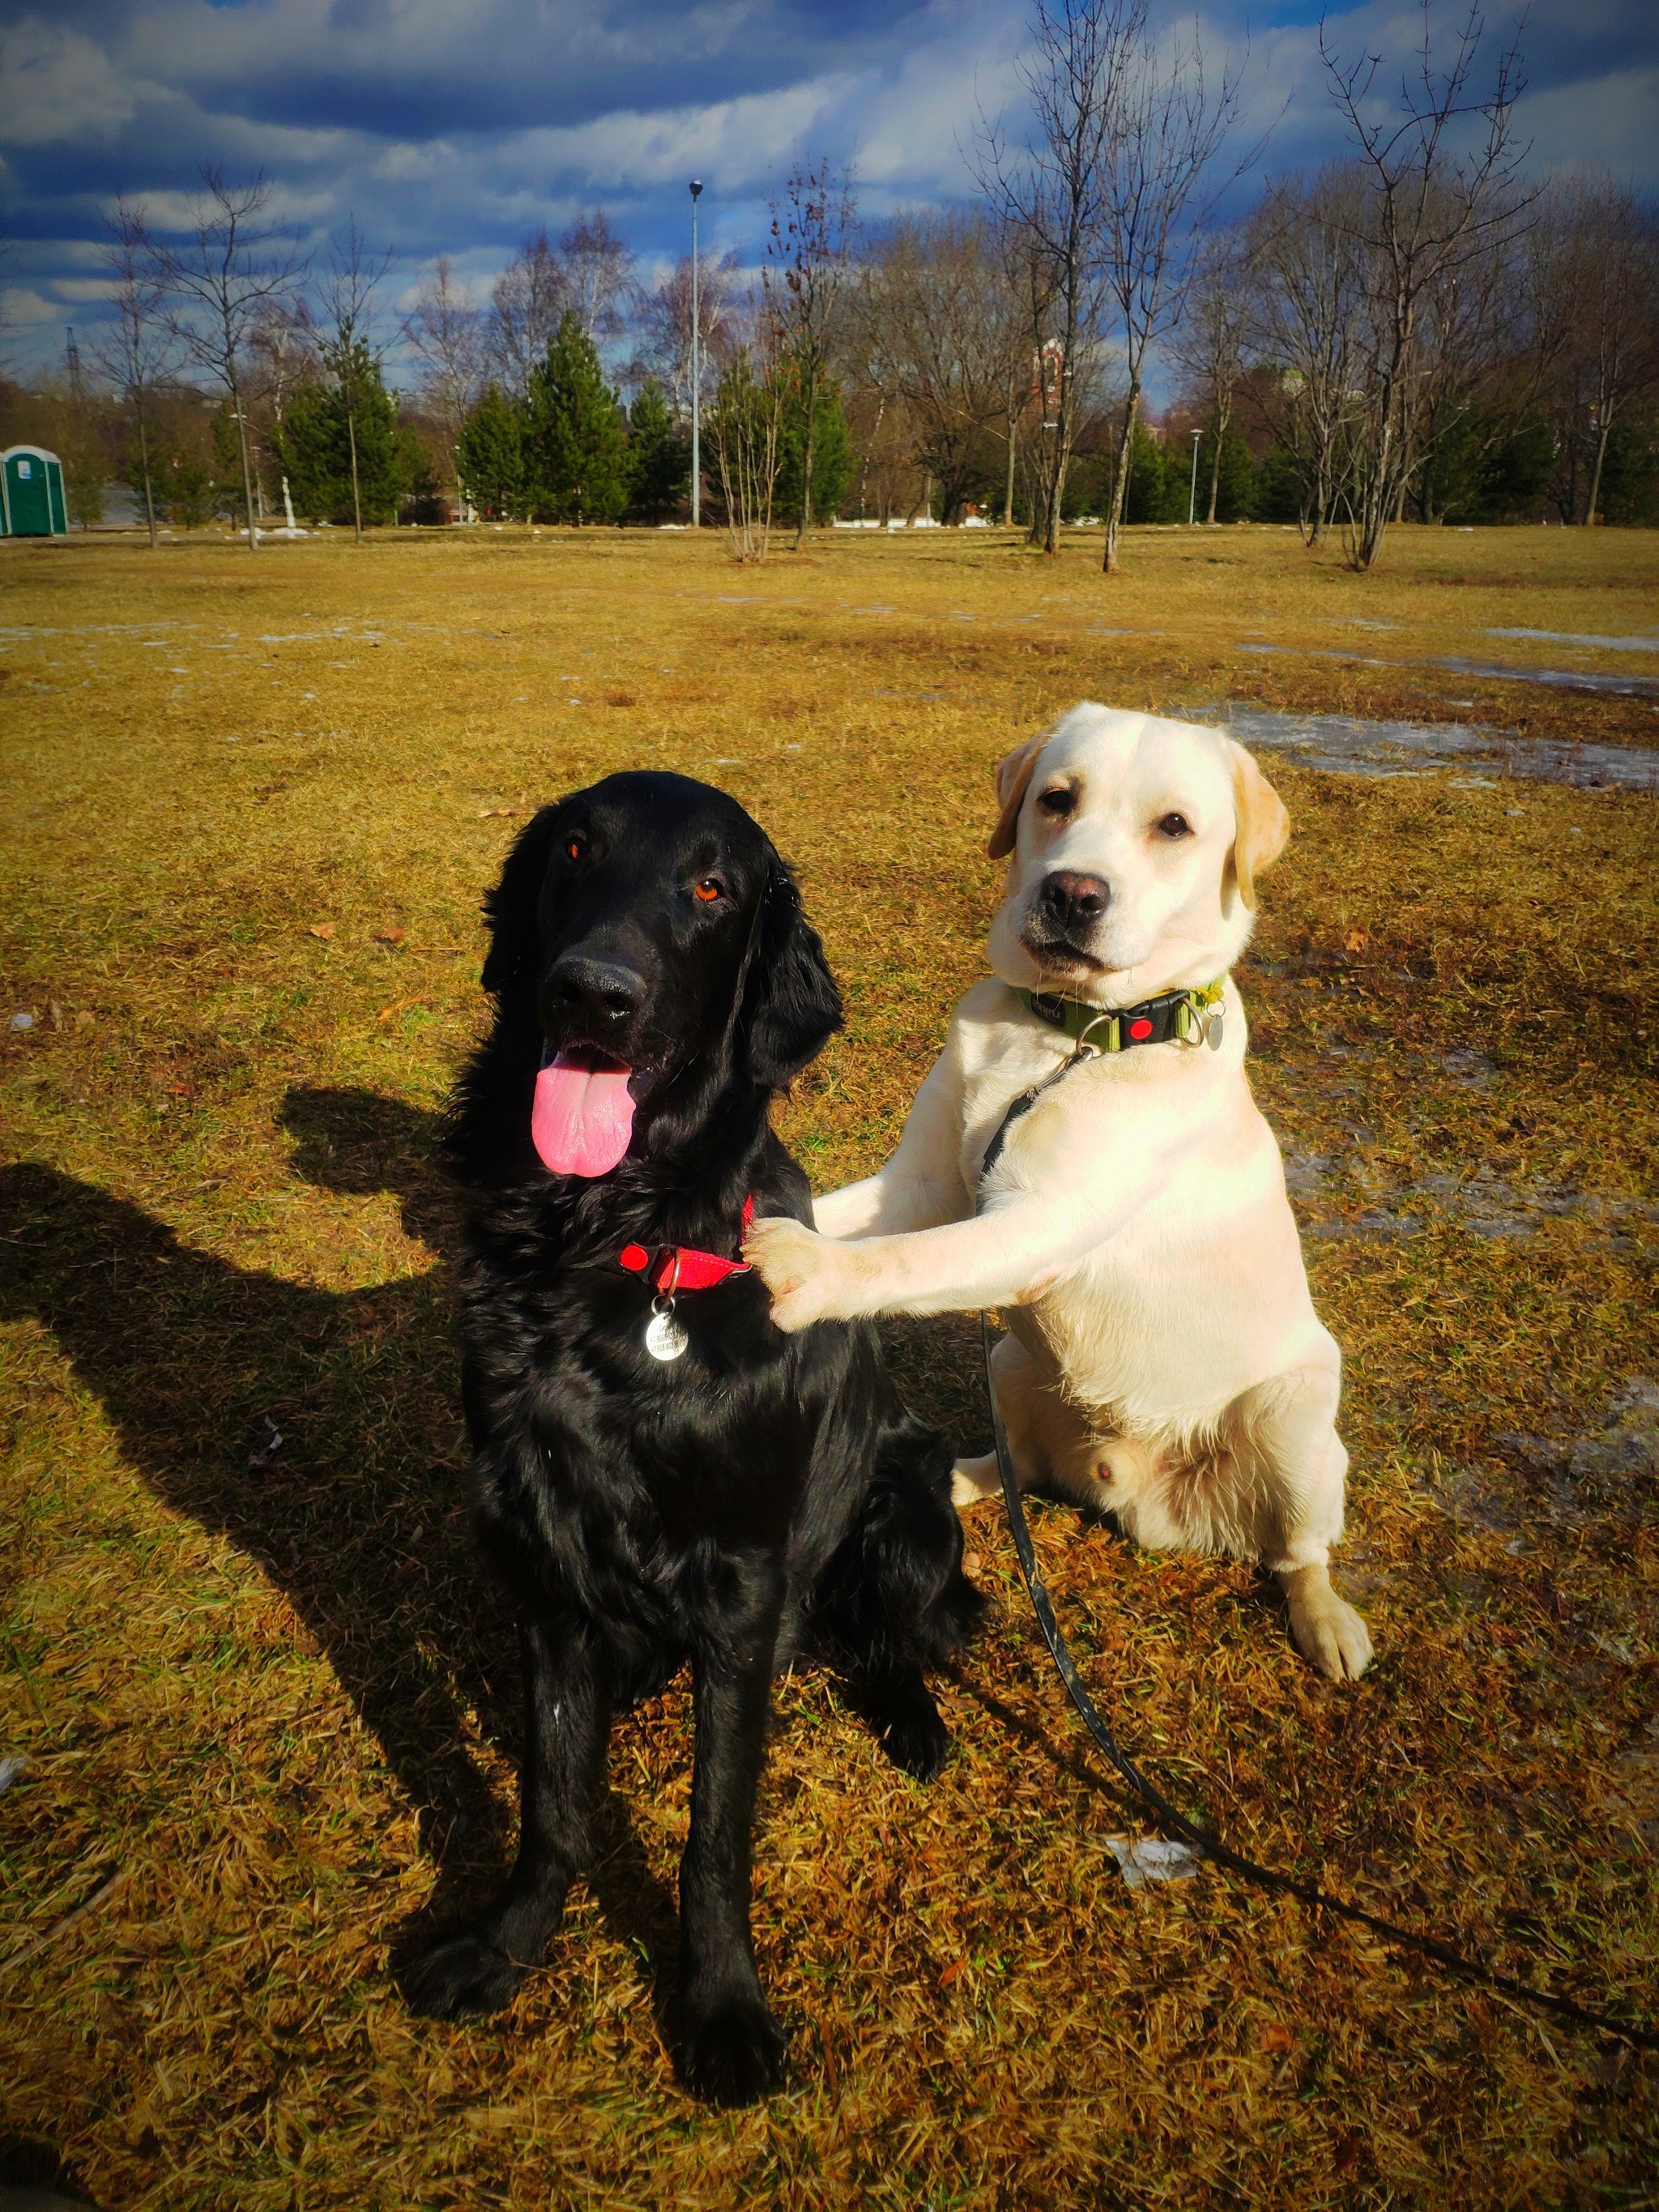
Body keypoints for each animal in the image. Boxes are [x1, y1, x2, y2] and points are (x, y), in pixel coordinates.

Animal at [413, 778, 986, 2105]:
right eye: (575, 849)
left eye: (712, 889)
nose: (593, 992)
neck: (605, 1247)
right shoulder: (547, 1567)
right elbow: (553, 1798)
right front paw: (507, 1945)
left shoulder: (741, 1588)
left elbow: (712, 1835)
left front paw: (722, 2006)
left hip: (908, 1498)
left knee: (895, 1636)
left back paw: (914, 1718)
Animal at [752, 703, 1380, 1672]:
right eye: (1056, 799)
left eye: (1173, 827)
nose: (1072, 894)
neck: (1071, 1034)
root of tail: (1140, 1499)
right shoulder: (923, 1184)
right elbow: (856, 1215)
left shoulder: (1040, 1224)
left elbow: (906, 1261)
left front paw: (809, 1271)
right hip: (1010, 1364)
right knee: (1022, 1468)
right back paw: (960, 1475)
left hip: (1296, 1413)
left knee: (1297, 1553)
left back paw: (1327, 1621)